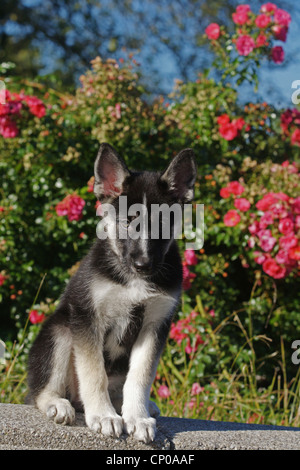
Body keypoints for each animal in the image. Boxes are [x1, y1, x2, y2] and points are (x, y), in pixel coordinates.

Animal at [26, 141, 197, 442]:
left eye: (163, 225)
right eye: (127, 222)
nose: (143, 265)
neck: (132, 281)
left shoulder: (154, 325)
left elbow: (140, 376)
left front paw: (136, 416)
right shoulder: (87, 318)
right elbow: (94, 373)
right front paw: (104, 416)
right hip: (61, 329)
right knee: (43, 390)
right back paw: (59, 404)